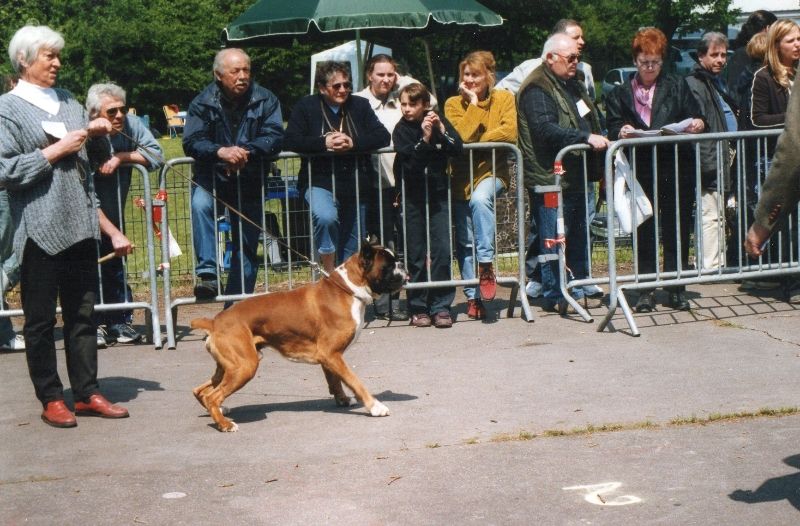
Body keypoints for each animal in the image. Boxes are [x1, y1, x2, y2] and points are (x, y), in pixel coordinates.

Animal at [191, 244, 410, 434]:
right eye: (388, 265)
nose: (402, 264)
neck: (347, 289)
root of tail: (214, 322)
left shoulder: (329, 357)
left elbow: (335, 380)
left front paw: (342, 400)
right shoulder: (332, 354)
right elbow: (354, 381)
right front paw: (375, 407)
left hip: (231, 366)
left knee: (200, 390)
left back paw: (221, 411)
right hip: (245, 366)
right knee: (212, 396)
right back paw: (225, 424)